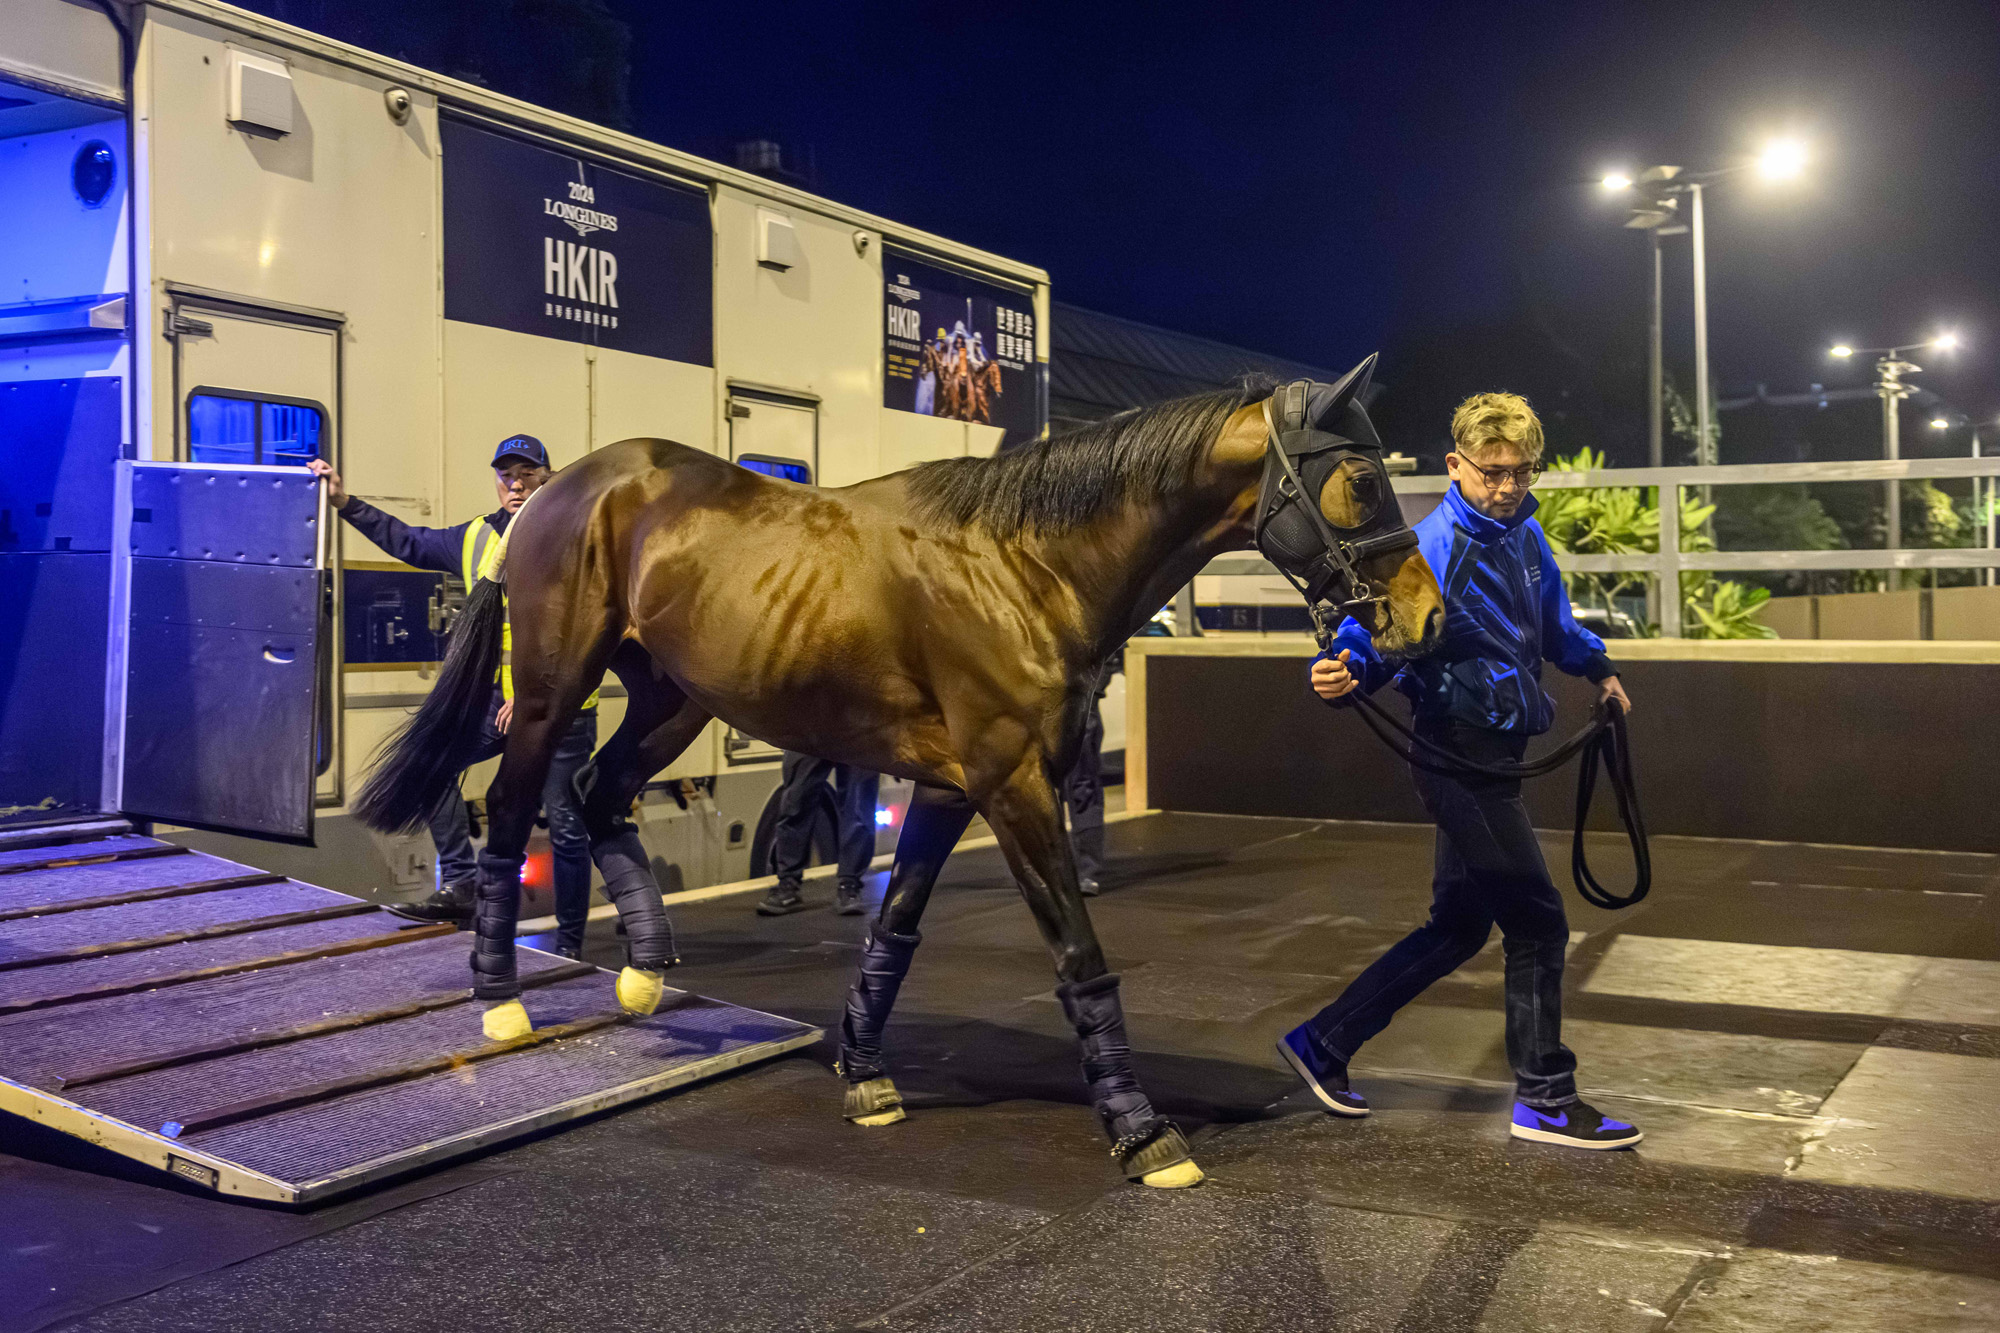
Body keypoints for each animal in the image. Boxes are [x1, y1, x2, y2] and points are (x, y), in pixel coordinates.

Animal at [360, 356, 1448, 1184]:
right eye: (1360, 481)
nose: (1425, 617)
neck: (1024, 565)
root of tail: (548, 494)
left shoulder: (946, 785)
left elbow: (897, 928)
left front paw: (864, 1070)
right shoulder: (1013, 783)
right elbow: (1077, 953)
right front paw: (1140, 1128)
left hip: (672, 699)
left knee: (600, 795)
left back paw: (642, 969)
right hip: (551, 689)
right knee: (514, 811)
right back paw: (500, 994)